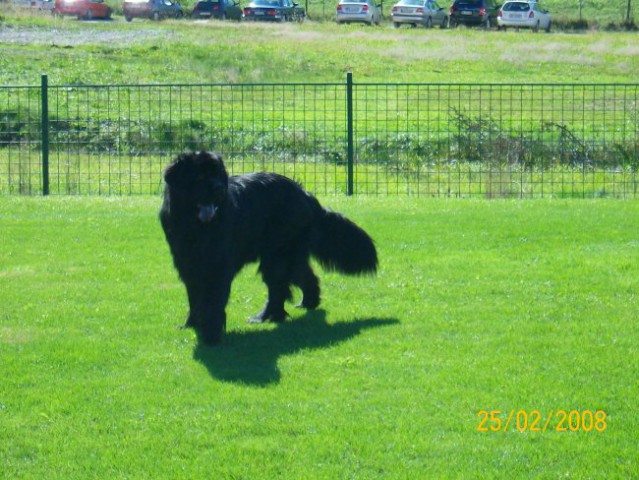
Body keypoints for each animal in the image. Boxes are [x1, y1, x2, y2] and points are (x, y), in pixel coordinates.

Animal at [161, 152, 380, 344]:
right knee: (303, 276)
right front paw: (191, 324)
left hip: (279, 253)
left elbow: (212, 300)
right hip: (287, 253)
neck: (196, 227)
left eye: (218, 175)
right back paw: (307, 303)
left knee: (278, 286)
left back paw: (266, 317)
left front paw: (211, 333)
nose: (219, 188)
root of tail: (305, 194)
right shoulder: (187, 264)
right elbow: (194, 297)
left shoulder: (218, 266)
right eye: (200, 176)